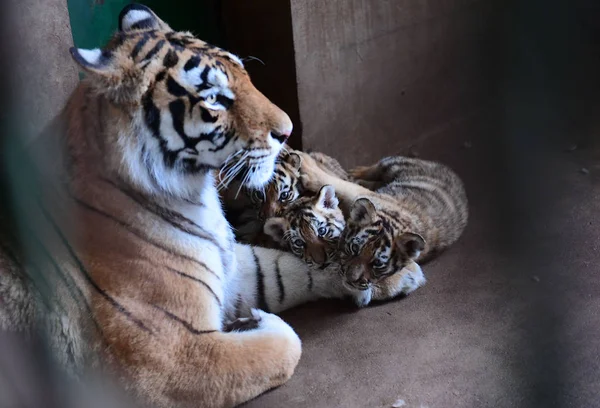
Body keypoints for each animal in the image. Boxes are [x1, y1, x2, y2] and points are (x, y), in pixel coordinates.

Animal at [0, 6, 360, 408]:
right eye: (215, 98)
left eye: (245, 74)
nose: (287, 132)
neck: (194, 195)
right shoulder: (172, 359)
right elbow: (284, 344)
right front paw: (254, 322)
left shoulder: (228, 265)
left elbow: (289, 269)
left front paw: (374, 276)